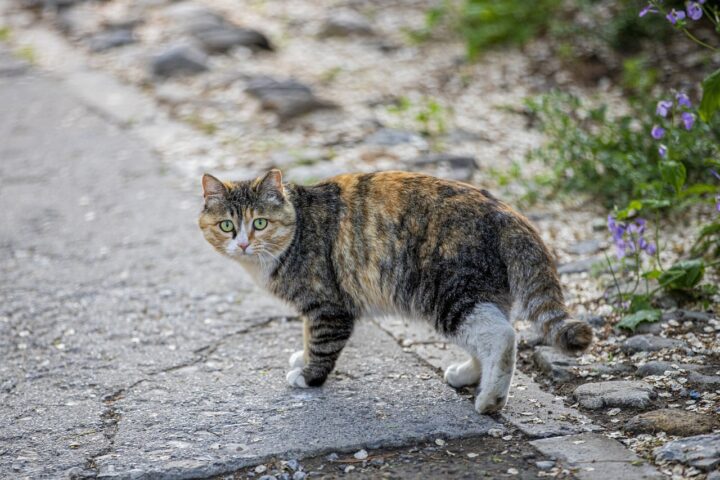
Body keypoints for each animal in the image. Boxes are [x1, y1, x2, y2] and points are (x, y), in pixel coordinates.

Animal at [197, 168, 592, 412]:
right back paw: (468, 376)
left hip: (446, 295)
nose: (243, 244)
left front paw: (308, 376)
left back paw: (490, 401)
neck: (299, 227)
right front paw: (302, 356)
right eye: (227, 225)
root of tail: (508, 213)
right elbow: (308, 339)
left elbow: (321, 345)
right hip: (481, 294)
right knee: (487, 336)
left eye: (260, 223)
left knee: (502, 336)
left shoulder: (329, 307)